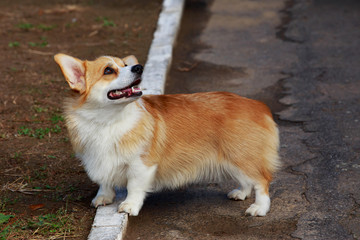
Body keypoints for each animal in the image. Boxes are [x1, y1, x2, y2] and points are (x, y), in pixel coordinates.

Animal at [53, 53, 280, 217]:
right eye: (108, 70)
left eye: (125, 64)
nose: (139, 67)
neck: (108, 121)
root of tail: (258, 106)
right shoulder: (99, 158)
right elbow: (104, 181)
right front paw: (103, 197)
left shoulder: (141, 165)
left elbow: (134, 186)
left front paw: (129, 206)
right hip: (234, 158)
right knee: (248, 180)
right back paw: (241, 193)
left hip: (241, 155)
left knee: (262, 181)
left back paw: (259, 208)